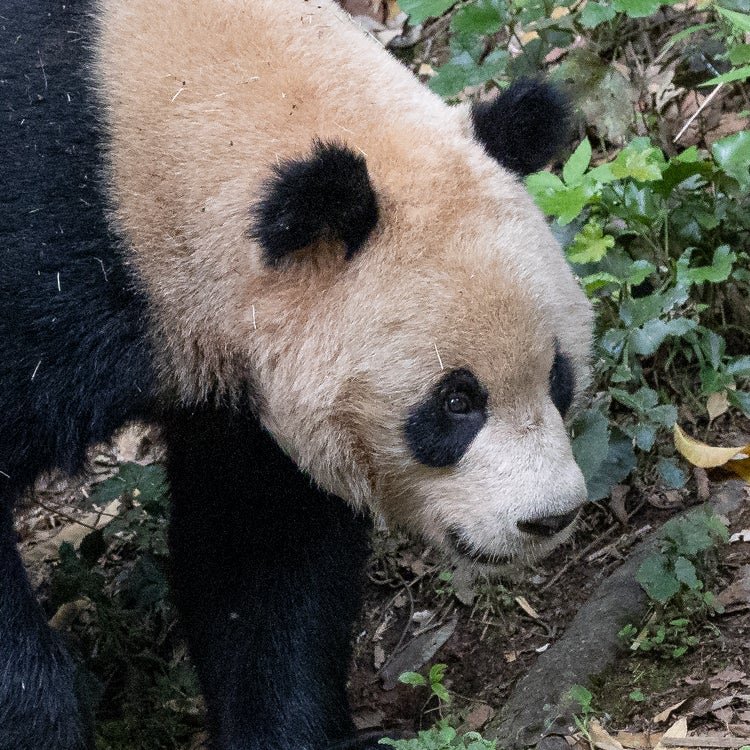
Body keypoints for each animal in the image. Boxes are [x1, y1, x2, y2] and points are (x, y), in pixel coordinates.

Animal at [0, 1, 593, 749]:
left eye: (557, 377)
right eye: (457, 401)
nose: (550, 518)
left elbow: (262, 551)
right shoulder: (43, 247)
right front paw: (37, 715)